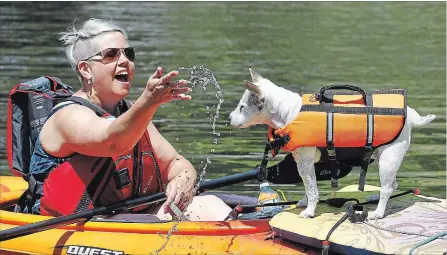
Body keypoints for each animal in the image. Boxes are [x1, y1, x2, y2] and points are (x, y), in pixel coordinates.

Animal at [231, 68, 438, 219]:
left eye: (242, 107)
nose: (229, 118)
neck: (289, 112)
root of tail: (410, 114)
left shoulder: (304, 161)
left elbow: (311, 189)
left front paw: (309, 211)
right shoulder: (309, 163)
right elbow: (309, 185)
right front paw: (305, 201)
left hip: (389, 158)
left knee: (387, 187)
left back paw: (379, 212)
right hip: (384, 159)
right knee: (393, 184)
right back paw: (374, 197)